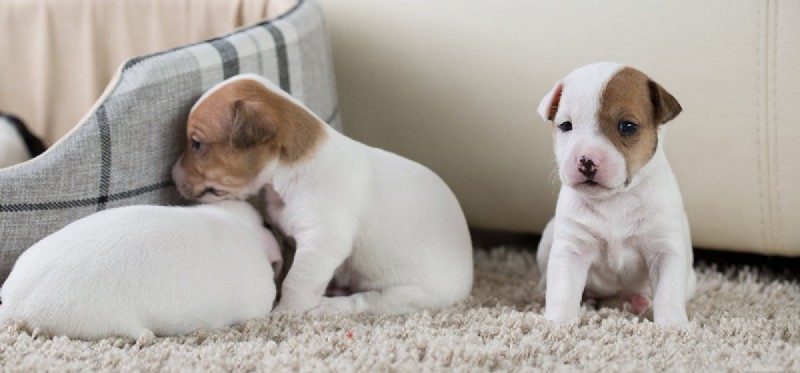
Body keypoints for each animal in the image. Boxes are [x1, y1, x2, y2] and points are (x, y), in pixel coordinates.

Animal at [172, 74, 472, 316]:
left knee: (364, 302)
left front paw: (284, 312)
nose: (172, 175)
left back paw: (329, 306)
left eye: (196, 144)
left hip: (405, 294)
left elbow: (296, 281)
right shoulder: (293, 240)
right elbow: (290, 270)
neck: (286, 176)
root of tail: (469, 276)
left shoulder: (323, 241)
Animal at [536, 63, 696, 326]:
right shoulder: (571, 250)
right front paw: (557, 323)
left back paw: (637, 302)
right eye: (566, 126)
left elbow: (668, 294)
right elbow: (563, 291)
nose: (586, 161)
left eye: (627, 126)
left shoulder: (665, 252)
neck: (615, 200)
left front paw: (673, 326)